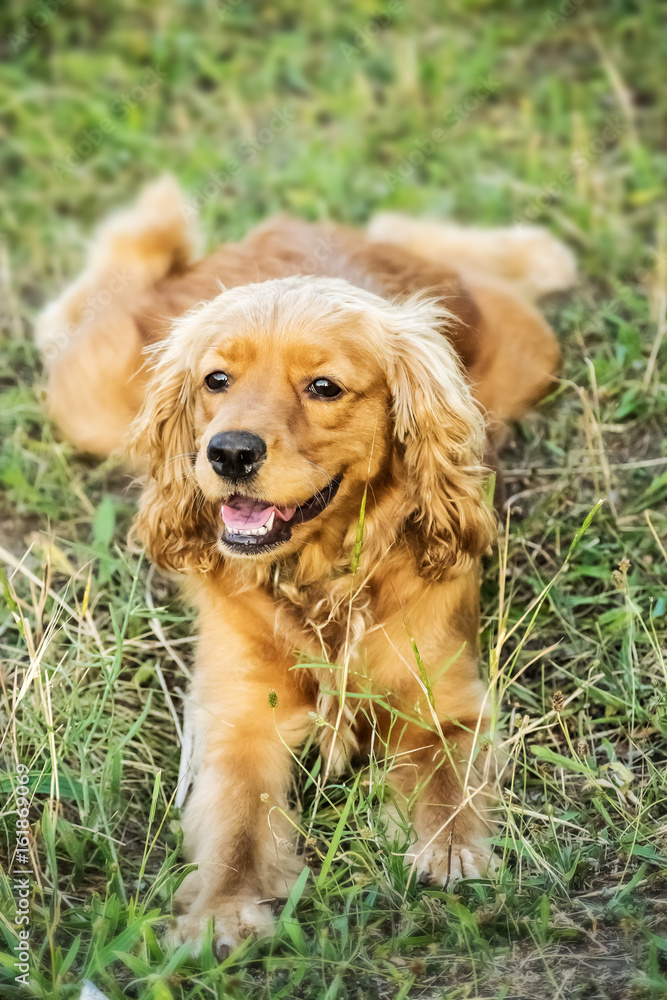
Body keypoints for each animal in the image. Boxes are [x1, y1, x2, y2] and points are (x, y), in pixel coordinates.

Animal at [36, 178, 576, 952]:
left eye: (323, 387)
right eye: (216, 380)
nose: (229, 452)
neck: (322, 583)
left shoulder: (444, 698)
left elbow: (448, 780)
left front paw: (450, 853)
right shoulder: (237, 722)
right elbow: (236, 830)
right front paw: (223, 911)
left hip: (526, 349)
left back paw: (535, 249)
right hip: (87, 399)